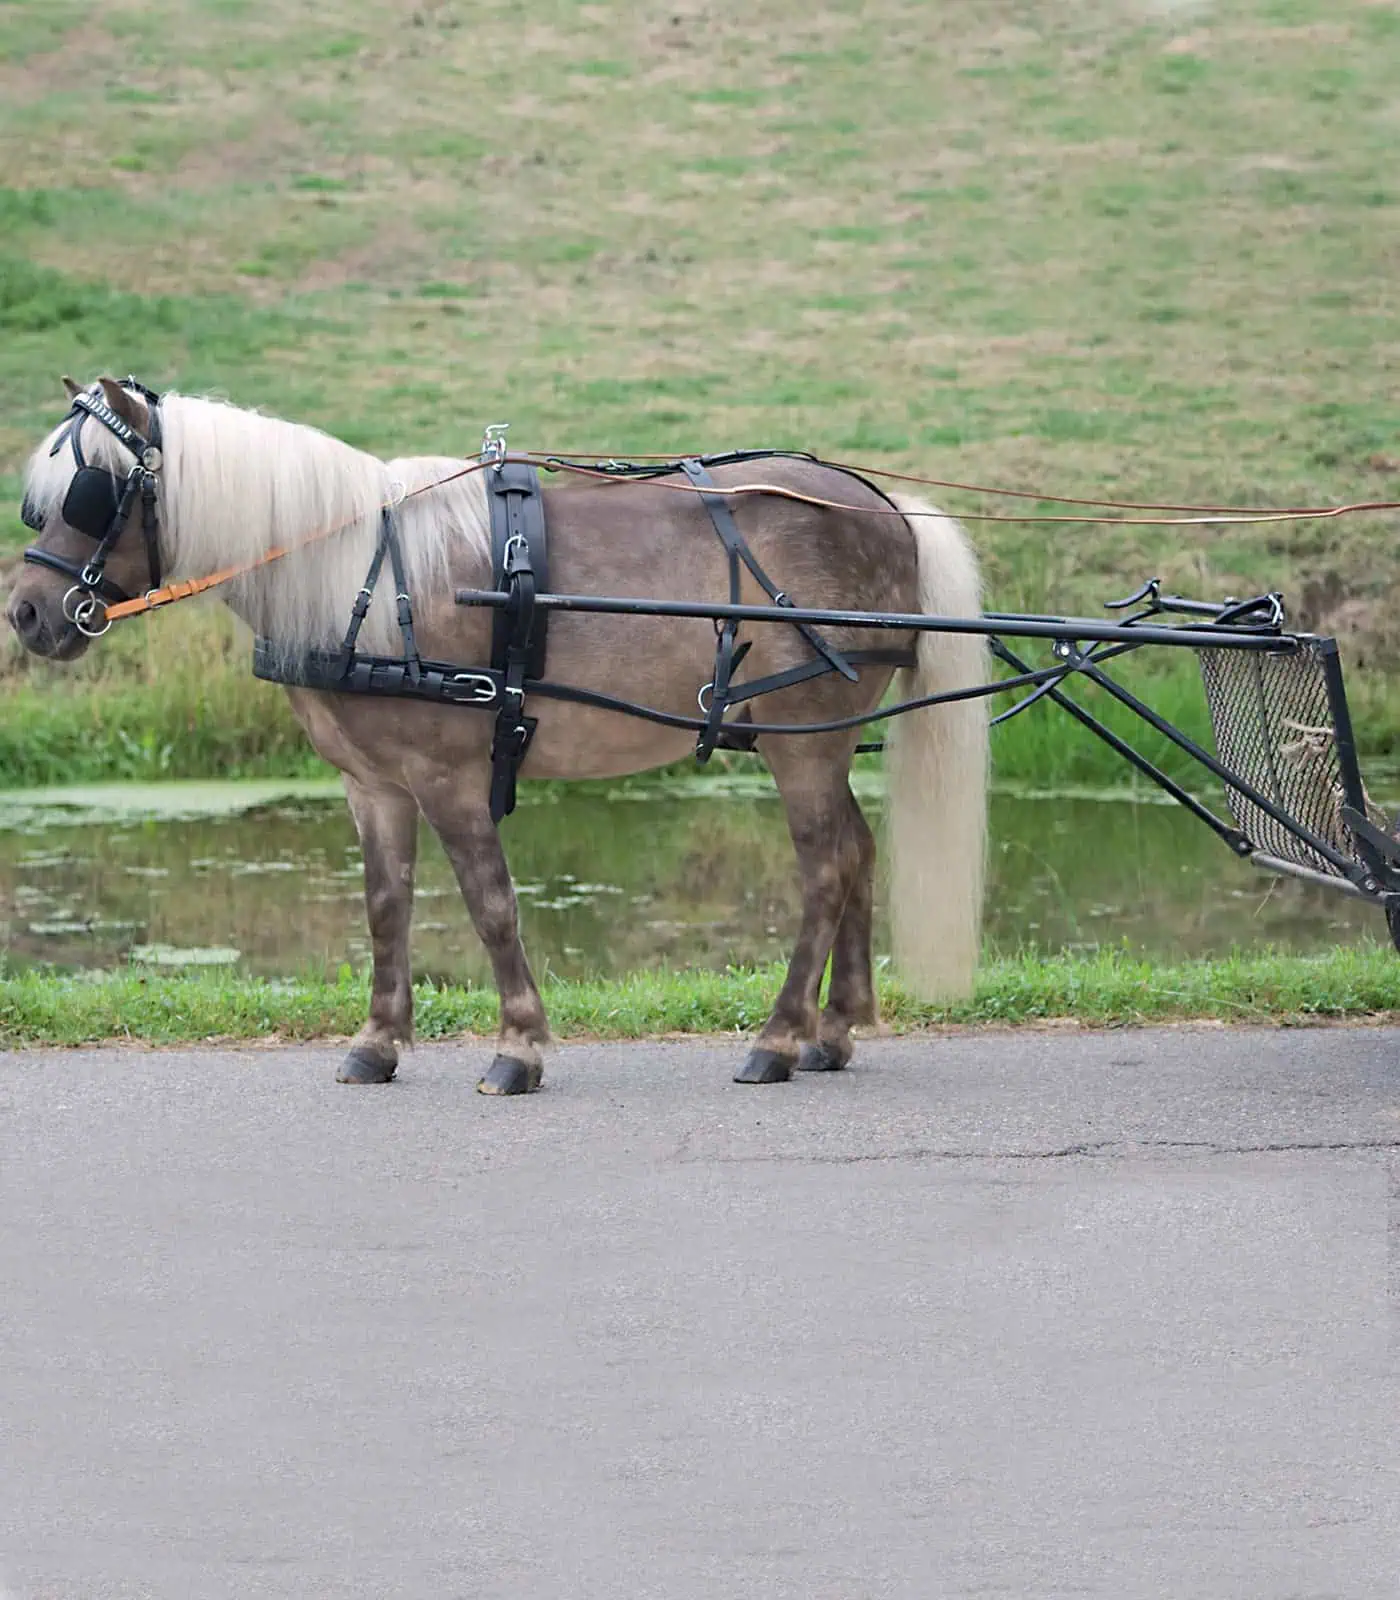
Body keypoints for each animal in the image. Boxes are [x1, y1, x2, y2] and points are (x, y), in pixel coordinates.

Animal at [5, 377, 992, 1088]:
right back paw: (834, 1030)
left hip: (803, 738)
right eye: (40, 501)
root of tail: (881, 506)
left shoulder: (449, 776)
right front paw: (377, 1042)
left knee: (825, 868)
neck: (367, 576)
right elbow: (386, 907)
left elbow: (490, 903)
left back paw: (779, 1039)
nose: (26, 615)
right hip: (823, 741)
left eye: (90, 493)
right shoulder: (373, 785)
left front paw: (518, 1047)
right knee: (857, 853)